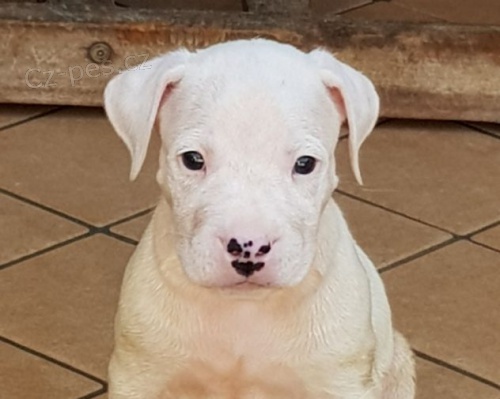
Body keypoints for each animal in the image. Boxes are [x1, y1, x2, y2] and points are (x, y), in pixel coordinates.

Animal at [103, 38, 416, 399]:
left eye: (305, 164)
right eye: (193, 160)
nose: (248, 247)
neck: (245, 311)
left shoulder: (340, 382)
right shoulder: (139, 376)